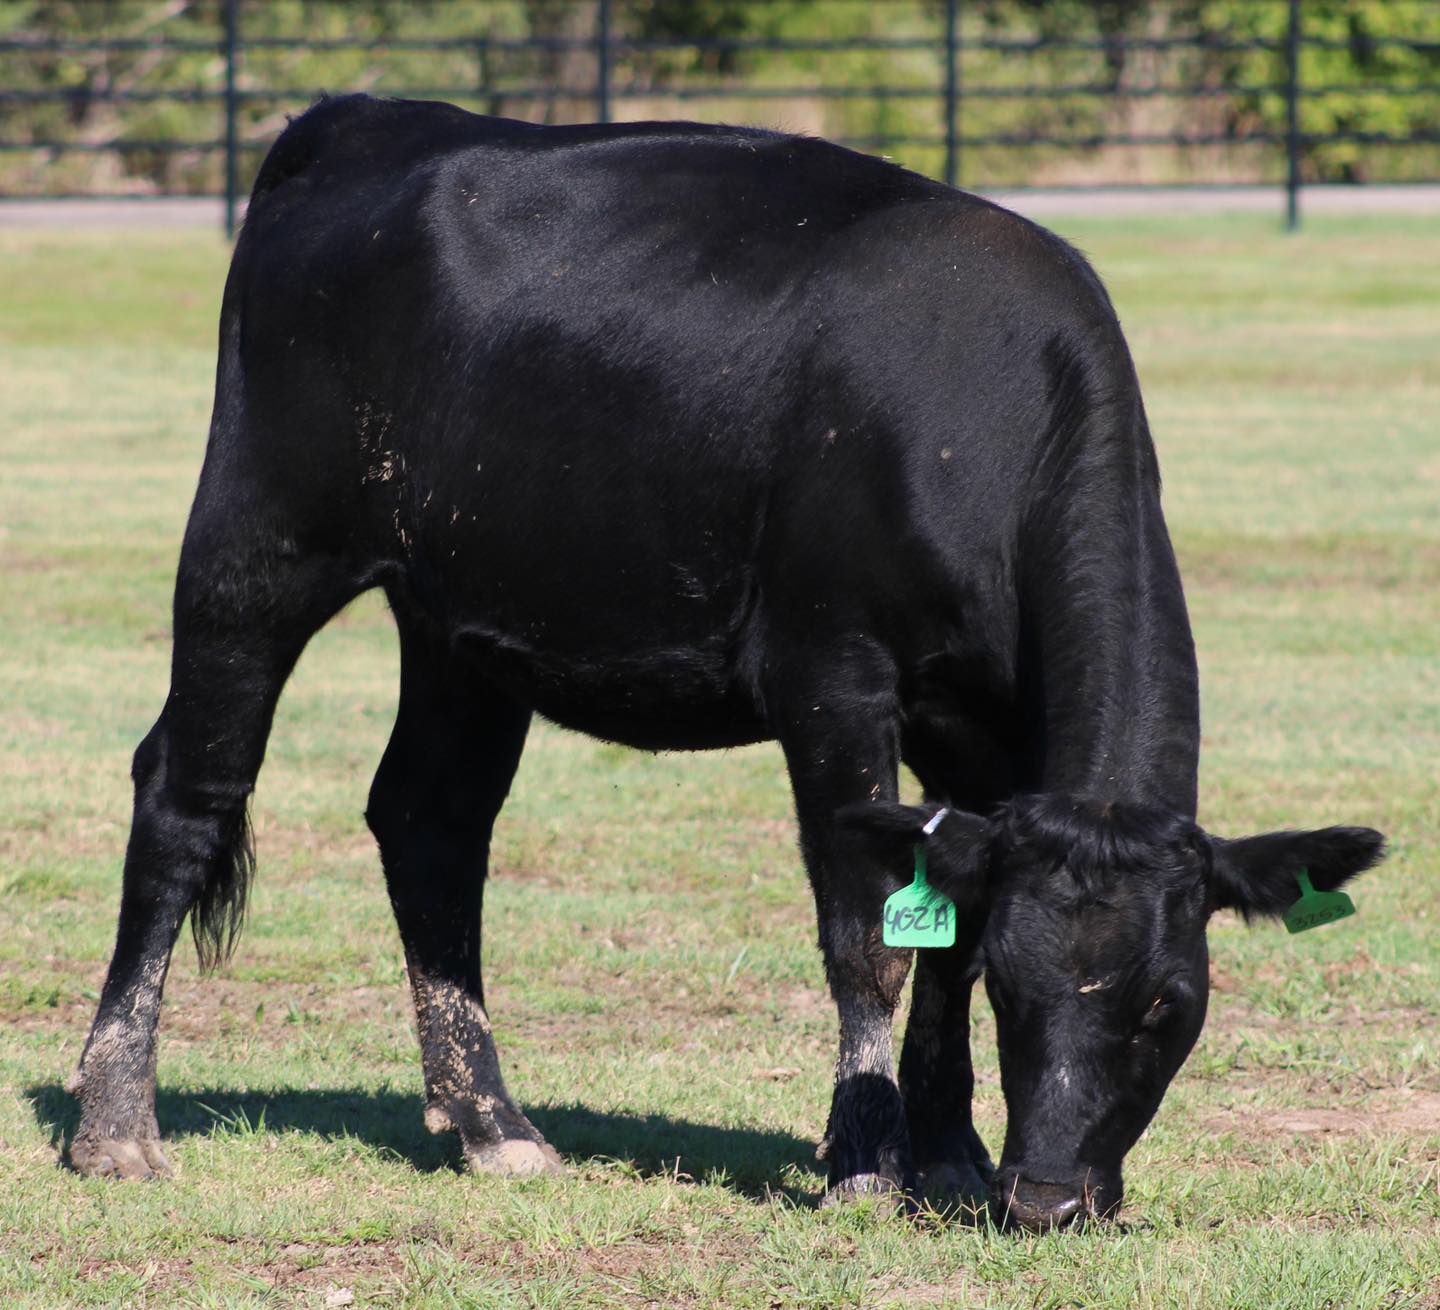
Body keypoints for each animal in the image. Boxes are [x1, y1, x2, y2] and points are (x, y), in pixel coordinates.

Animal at [70, 100, 1382, 1232]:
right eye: (1025, 992)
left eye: (1170, 1000)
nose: (1050, 1197)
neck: (987, 419)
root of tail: (365, 118)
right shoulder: (831, 675)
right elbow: (873, 938)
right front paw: (867, 1161)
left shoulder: (989, 736)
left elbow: (942, 929)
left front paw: (949, 1153)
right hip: (256, 541)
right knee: (186, 792)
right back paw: (116, 1120)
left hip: (459, 618)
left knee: (430, 819)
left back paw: (495, 1122)